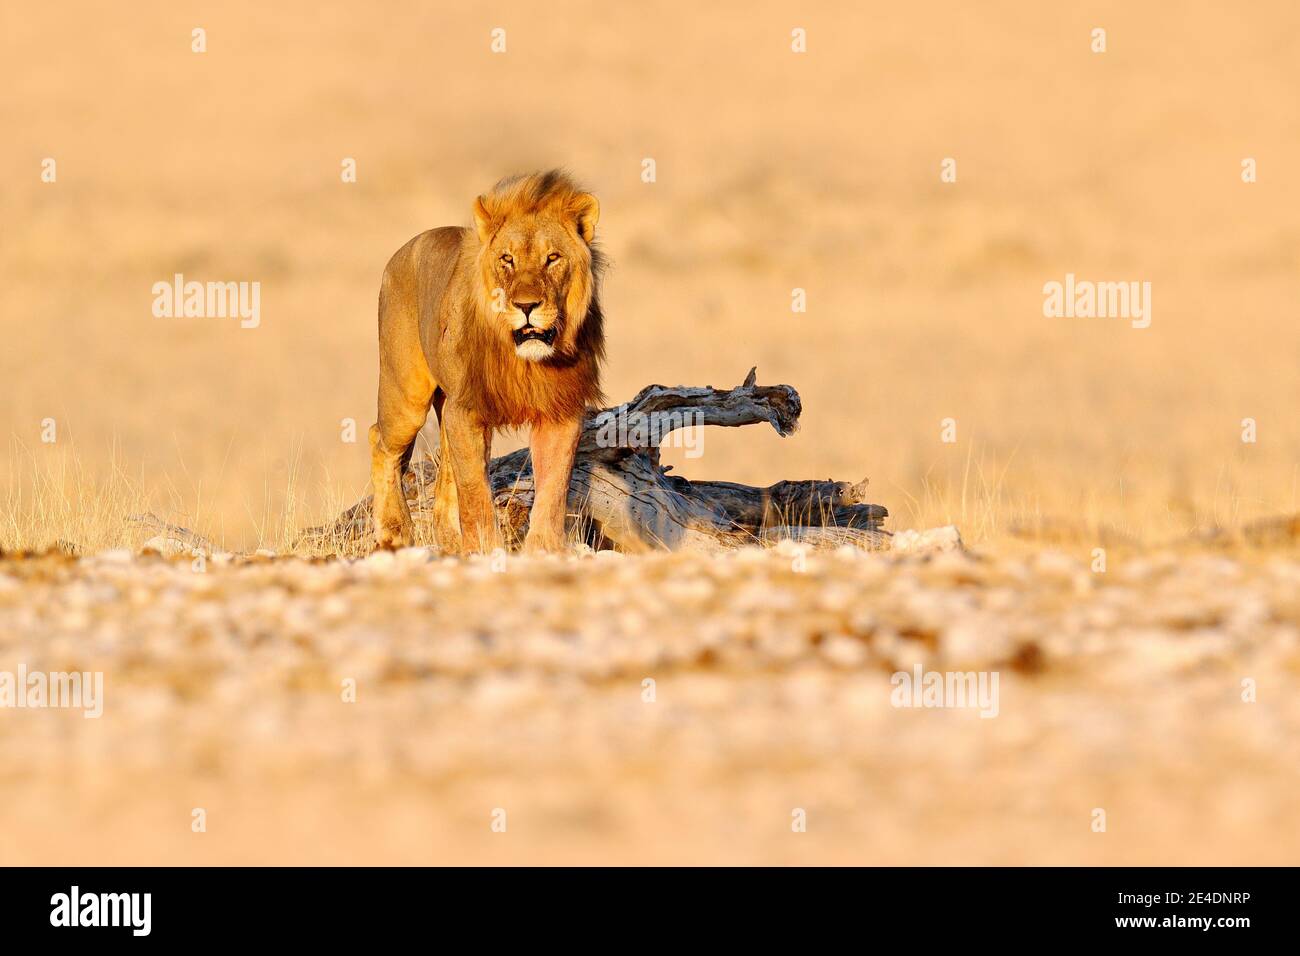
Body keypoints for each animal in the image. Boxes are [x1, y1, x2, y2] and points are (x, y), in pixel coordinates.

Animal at [371, 171, 603, 554]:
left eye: (552, 258)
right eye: (507, 259)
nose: (526, 306)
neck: (524, 361)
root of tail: (400, 253)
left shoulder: (560, 410)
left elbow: (554, 487)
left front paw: (545, 549)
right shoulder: (467, 409)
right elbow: (475, 490)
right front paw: (484, 550)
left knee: (445, 474)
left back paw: (450, 542)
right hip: (407, 397)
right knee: (381, 441)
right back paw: (395, 533)